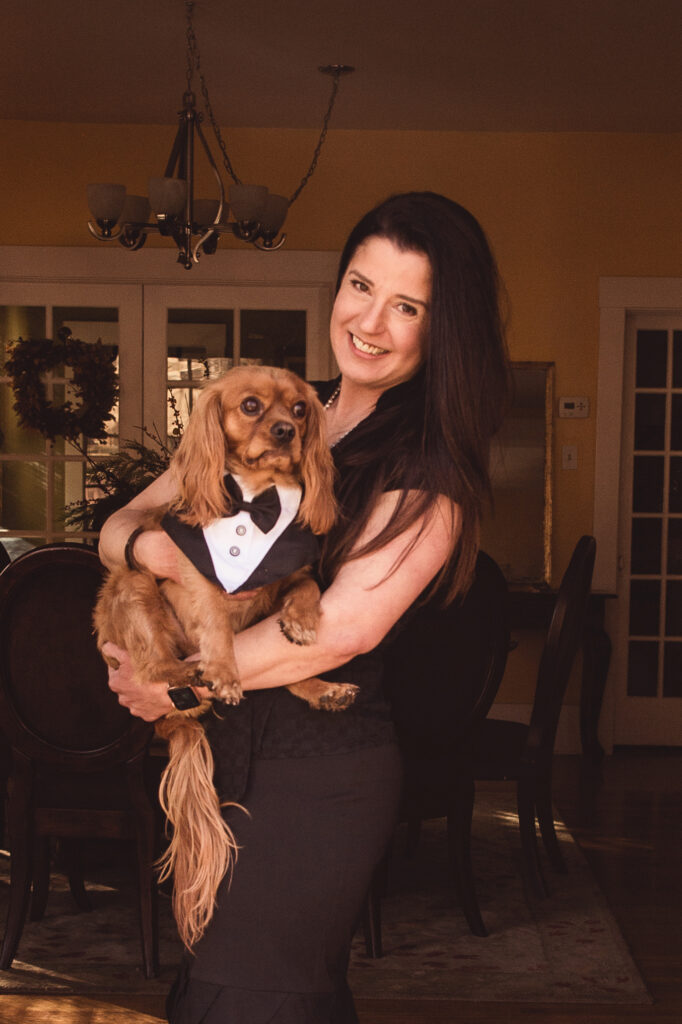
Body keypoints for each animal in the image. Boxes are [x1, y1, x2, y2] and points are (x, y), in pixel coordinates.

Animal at [94, 364, 356, 946]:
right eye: (251, 406)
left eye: (300, 409)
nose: (285, 432)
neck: (257, 502)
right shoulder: (191, 574)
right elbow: (214, 612)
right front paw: (222, 671)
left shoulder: (291, 573)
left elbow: (305, 587)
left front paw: (303, 621)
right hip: (132, 586)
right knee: (157, 671)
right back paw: (187, 677)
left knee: (290, 675)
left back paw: (325, 690)